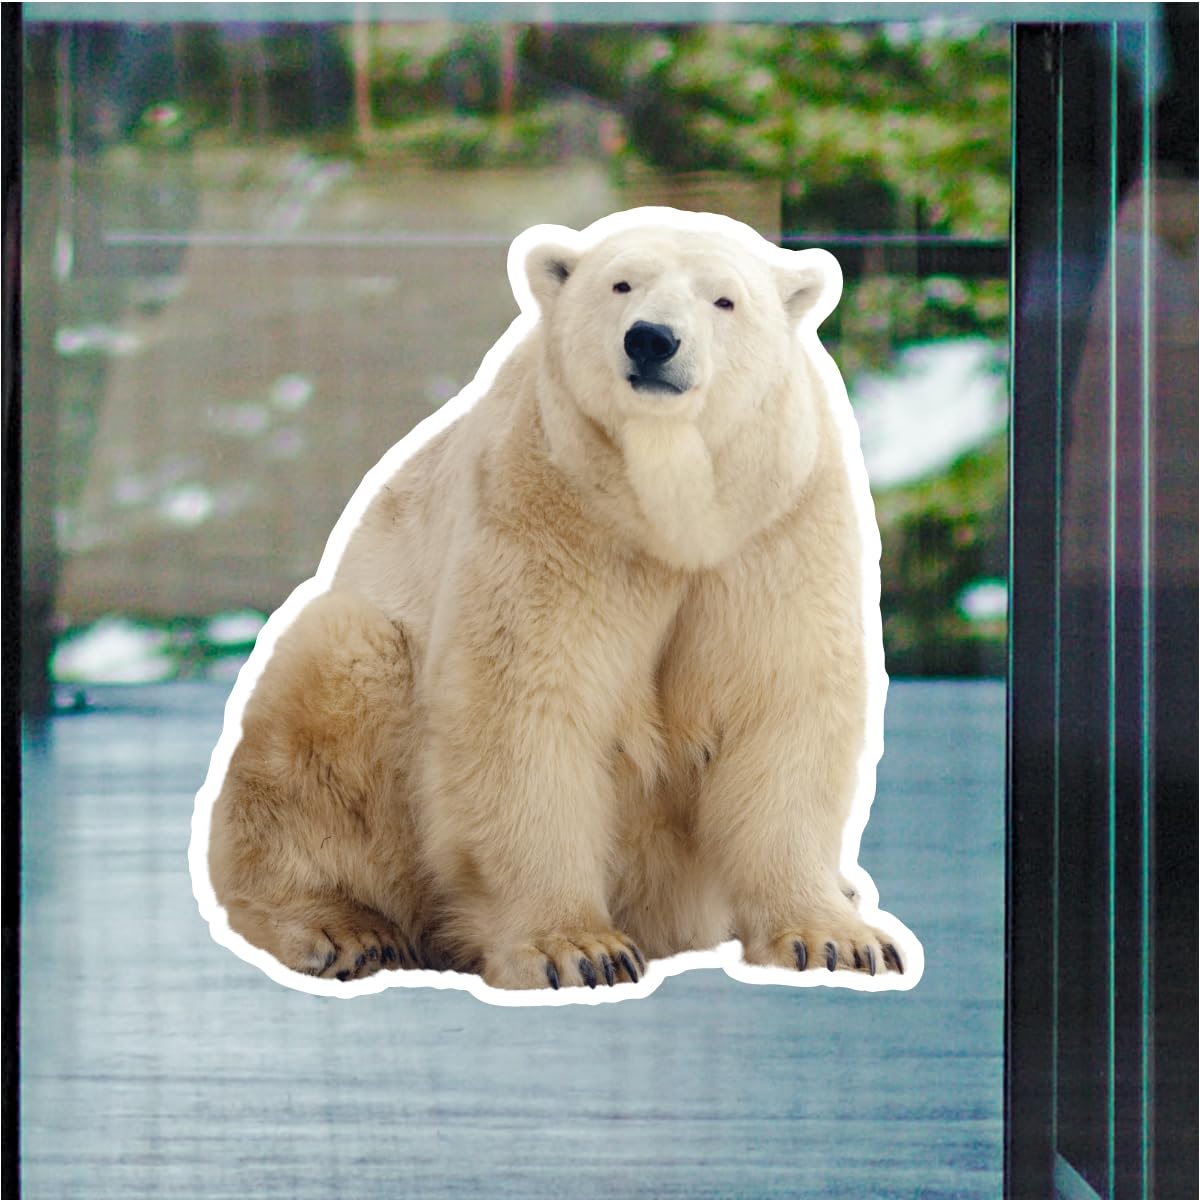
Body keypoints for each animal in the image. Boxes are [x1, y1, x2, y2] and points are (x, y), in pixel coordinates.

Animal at [197, 206, 916, 995]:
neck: (665, 509)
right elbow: (528, 707)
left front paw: (837, 939)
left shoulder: (772, 525)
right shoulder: (551, 508)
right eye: (621, 283)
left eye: (724, 299)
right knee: (331, 676)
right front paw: (577, 949)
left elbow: (782, 700)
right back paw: (342, 930)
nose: (652, 339)